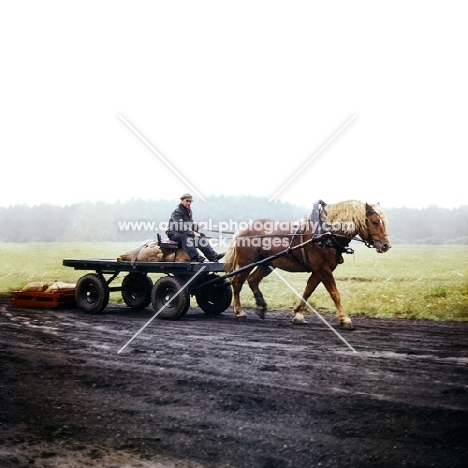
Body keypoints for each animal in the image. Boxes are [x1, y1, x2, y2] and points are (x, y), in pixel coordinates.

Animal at [223, 200, 392, 330]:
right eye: (375, 222)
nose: (386, 246)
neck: (325, 235)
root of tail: (241, 230)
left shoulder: (319, 270)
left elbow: (308, 291)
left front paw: (298, 314)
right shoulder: (323, 269)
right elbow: (335, 294)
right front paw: (345, 319)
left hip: (267, 263)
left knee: (252, 280)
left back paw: (261, 306)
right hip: (247, 262)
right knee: (237, 283)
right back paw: (239, 312)